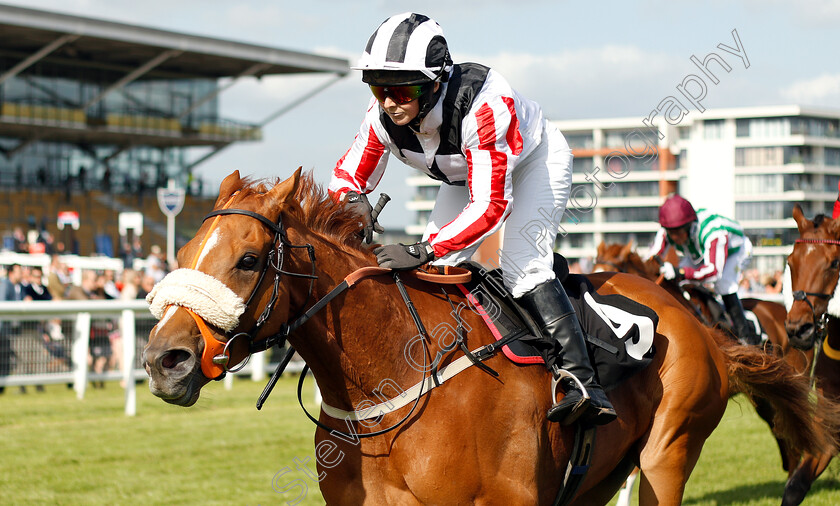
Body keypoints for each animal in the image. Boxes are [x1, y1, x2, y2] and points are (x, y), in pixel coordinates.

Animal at [141, 172, 836, 504]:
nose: (162, 359)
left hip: (668, 454)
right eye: (184, 251)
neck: (390, 379)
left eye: (249, 260)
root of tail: (703, 332)